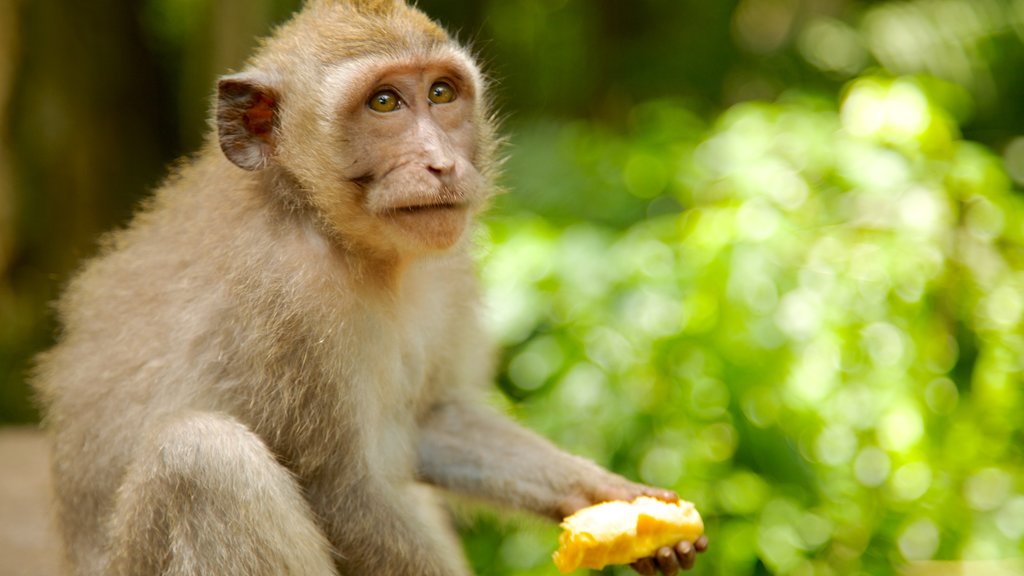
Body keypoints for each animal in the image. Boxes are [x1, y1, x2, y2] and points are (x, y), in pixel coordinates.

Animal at [29, 1, 704, 573]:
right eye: (384, 102)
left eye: (440, 93)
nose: (441, 163)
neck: (331, 228)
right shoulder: (288, 297)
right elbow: (341, 492)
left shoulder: (446, 265)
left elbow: (431, 419)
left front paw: (612, 497)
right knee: (202, 461)